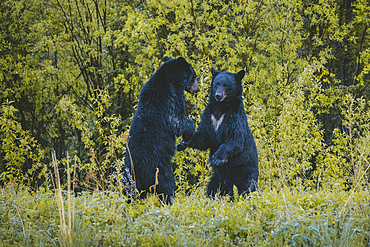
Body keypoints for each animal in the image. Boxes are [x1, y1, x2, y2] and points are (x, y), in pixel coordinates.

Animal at [123, 56, 199, 205]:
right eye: (194, 76)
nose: (198, 89)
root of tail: (138, 171)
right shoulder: (170, 99)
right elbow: (176, 121)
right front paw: (188, 135)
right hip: (159, 170)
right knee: (167, 186)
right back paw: (170, 202)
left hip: (129, 180)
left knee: (128, 194)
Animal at [178, 66, 258, 198]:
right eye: (217, 83)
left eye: (226, 85)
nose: (218, 95)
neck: (221, 107)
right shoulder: (209, 116)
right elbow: (203, 137)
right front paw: (183, 143)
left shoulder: (234, 117)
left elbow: (235, 139)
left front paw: (217, 158)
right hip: (217, 178)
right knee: (213, 188)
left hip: (244, 170)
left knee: (247, 187)